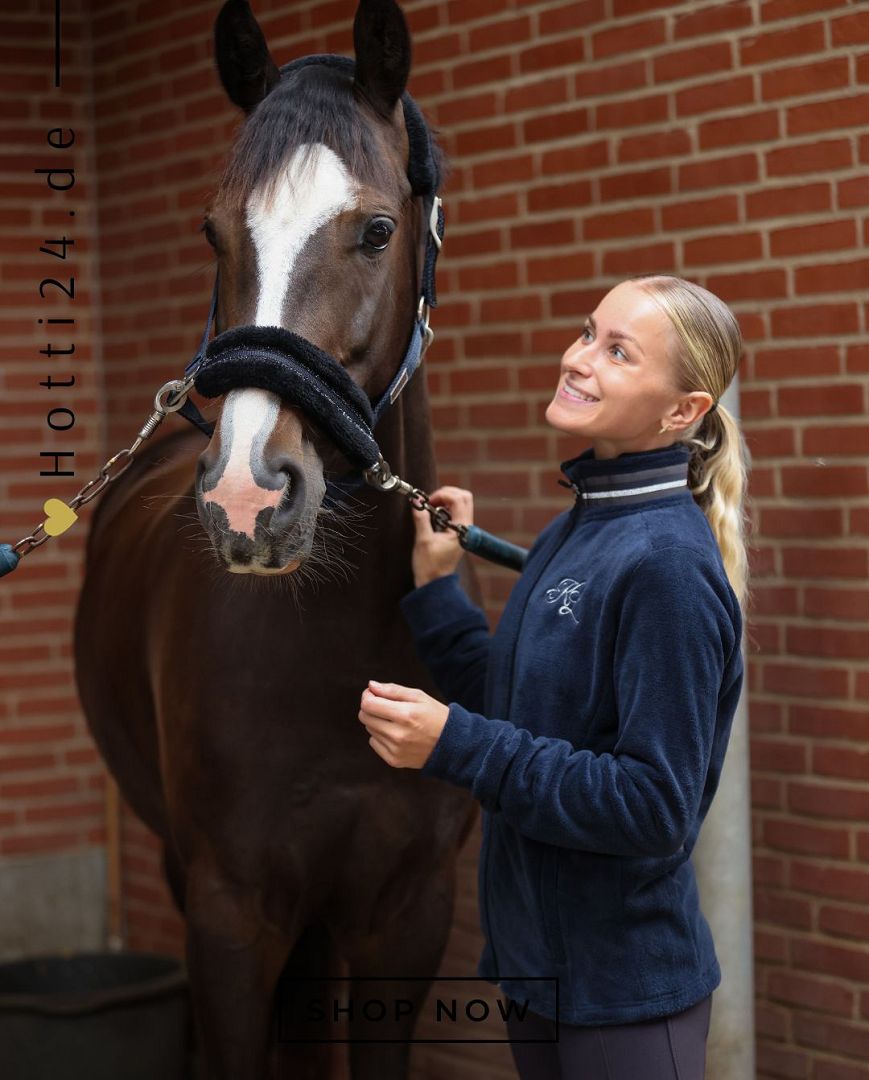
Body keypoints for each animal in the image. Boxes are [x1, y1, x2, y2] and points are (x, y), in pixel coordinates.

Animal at [74, 4, 477, 1075]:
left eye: (376, 230)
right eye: (214, 231)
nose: (247, 495)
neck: (334, 652)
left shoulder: (404, 915)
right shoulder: (231, 917)